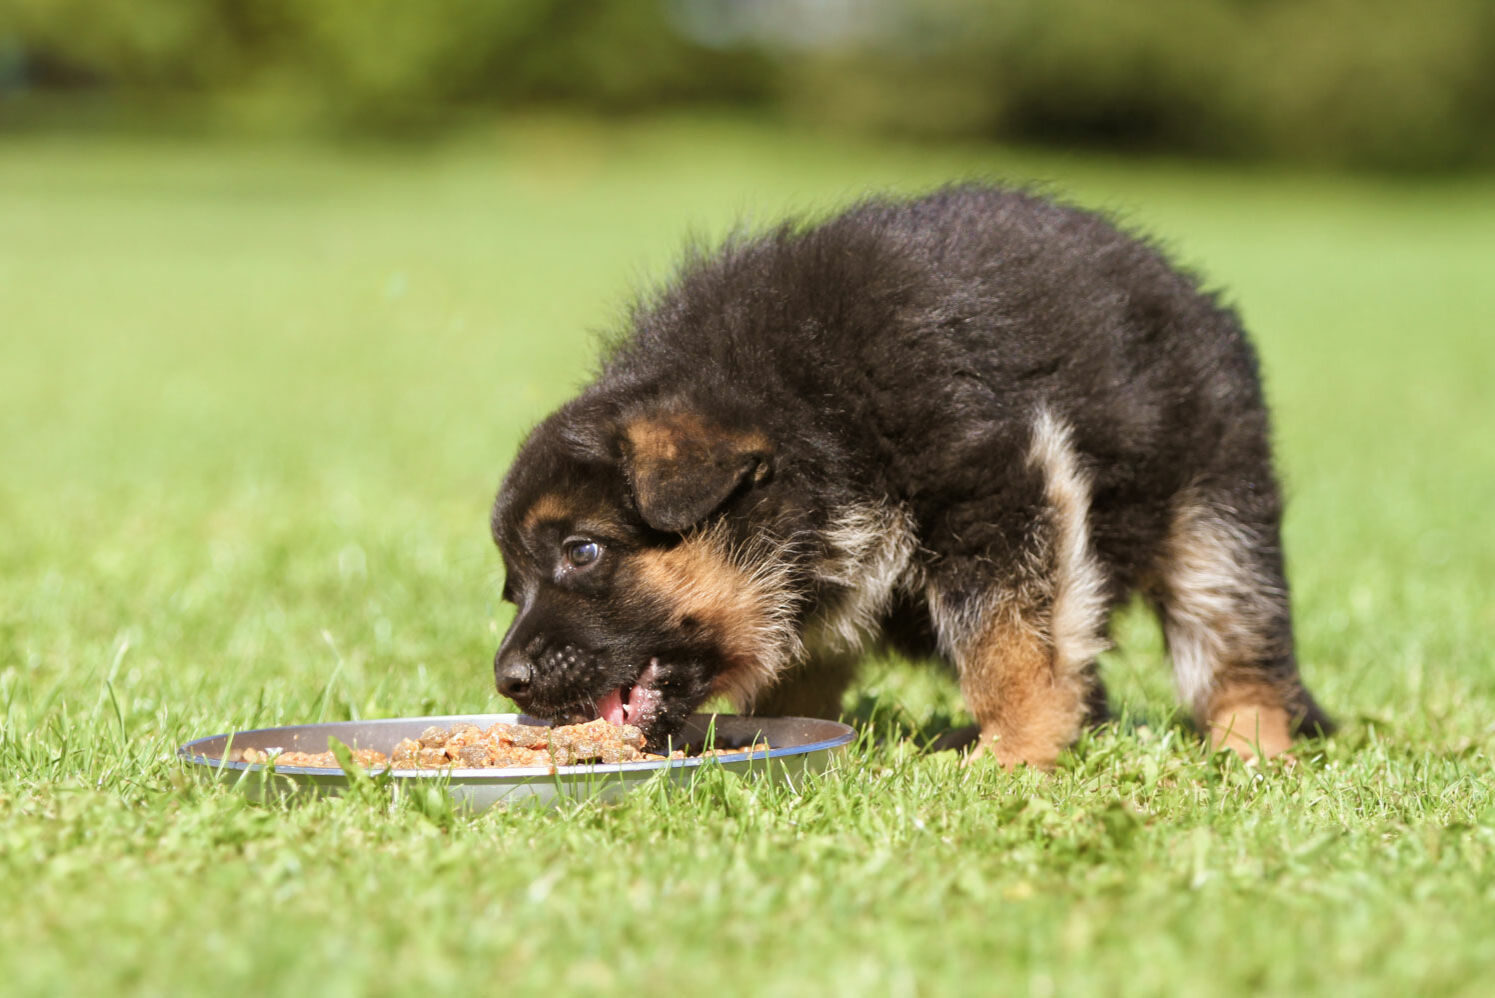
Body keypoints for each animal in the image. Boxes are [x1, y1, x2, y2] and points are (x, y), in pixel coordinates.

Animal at [490, 183, 1333, 770]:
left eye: (582, 552)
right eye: (511, 587)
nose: (507, 680)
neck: (804, 405)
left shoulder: (999, 489)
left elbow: (1008, 648)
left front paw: (1011, 758)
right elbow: (804, 662)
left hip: (1212, 516)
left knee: (1235, 650)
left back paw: (1250, 752)